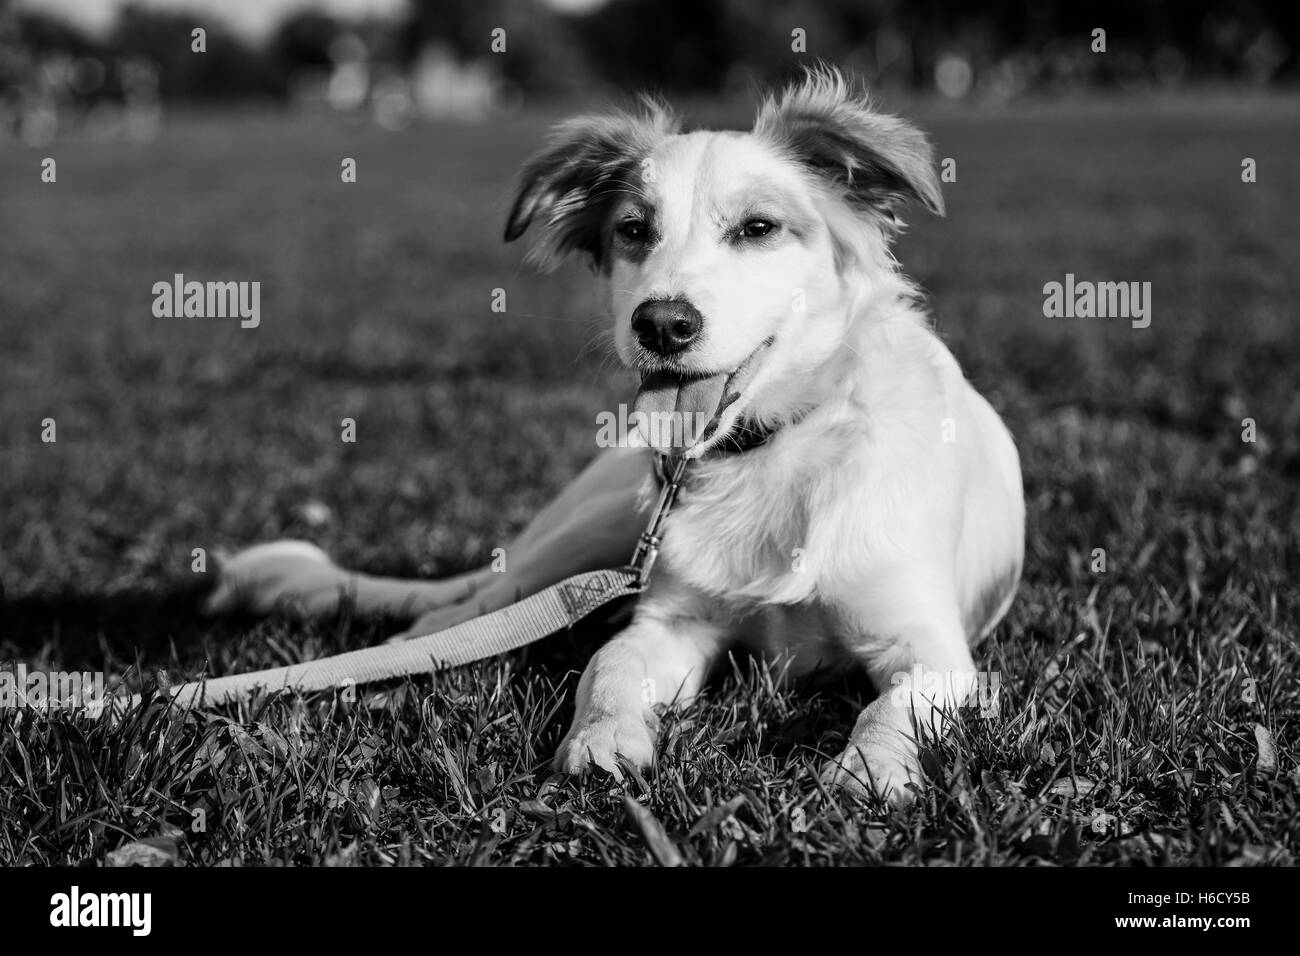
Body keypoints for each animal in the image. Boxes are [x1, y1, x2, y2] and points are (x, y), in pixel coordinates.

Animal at [205, 63, 1024, 806]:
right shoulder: (671, 619)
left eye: (757, 228)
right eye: (635, 230)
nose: (662, 324)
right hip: (582, 539)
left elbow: (892, 707)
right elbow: (611, 665)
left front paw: (870, 772)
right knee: (456, 614)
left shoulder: (931, 645)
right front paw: (601, 741)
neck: (776, 448)